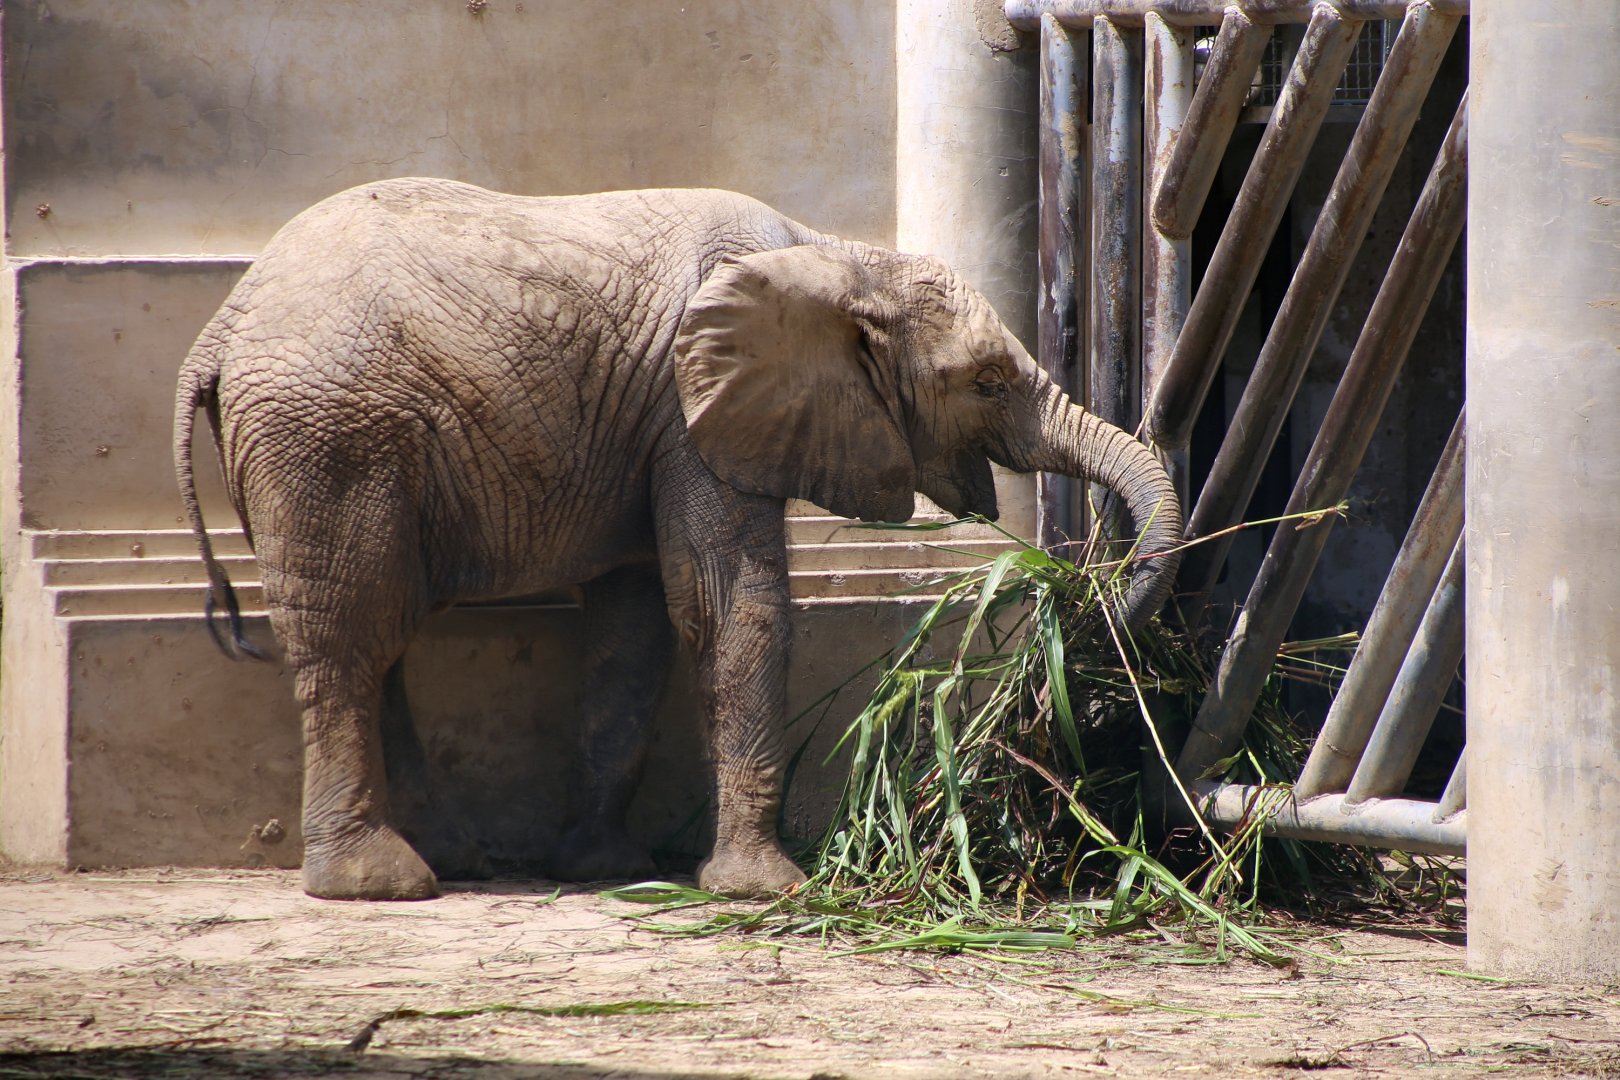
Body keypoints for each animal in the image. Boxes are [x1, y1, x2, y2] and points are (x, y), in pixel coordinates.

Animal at [174, 177, 1183, 903]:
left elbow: (635, 628)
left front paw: (606, 869)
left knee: (375, 633)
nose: (1093, 605)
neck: (834, 255)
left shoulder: (656, 423)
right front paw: (765, 890)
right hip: (327, 436)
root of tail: (219, 327)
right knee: (353, 633)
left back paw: (448, 861)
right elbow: (728, 605)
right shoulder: (692, 406)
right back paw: (376, 886)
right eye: (984, 383)